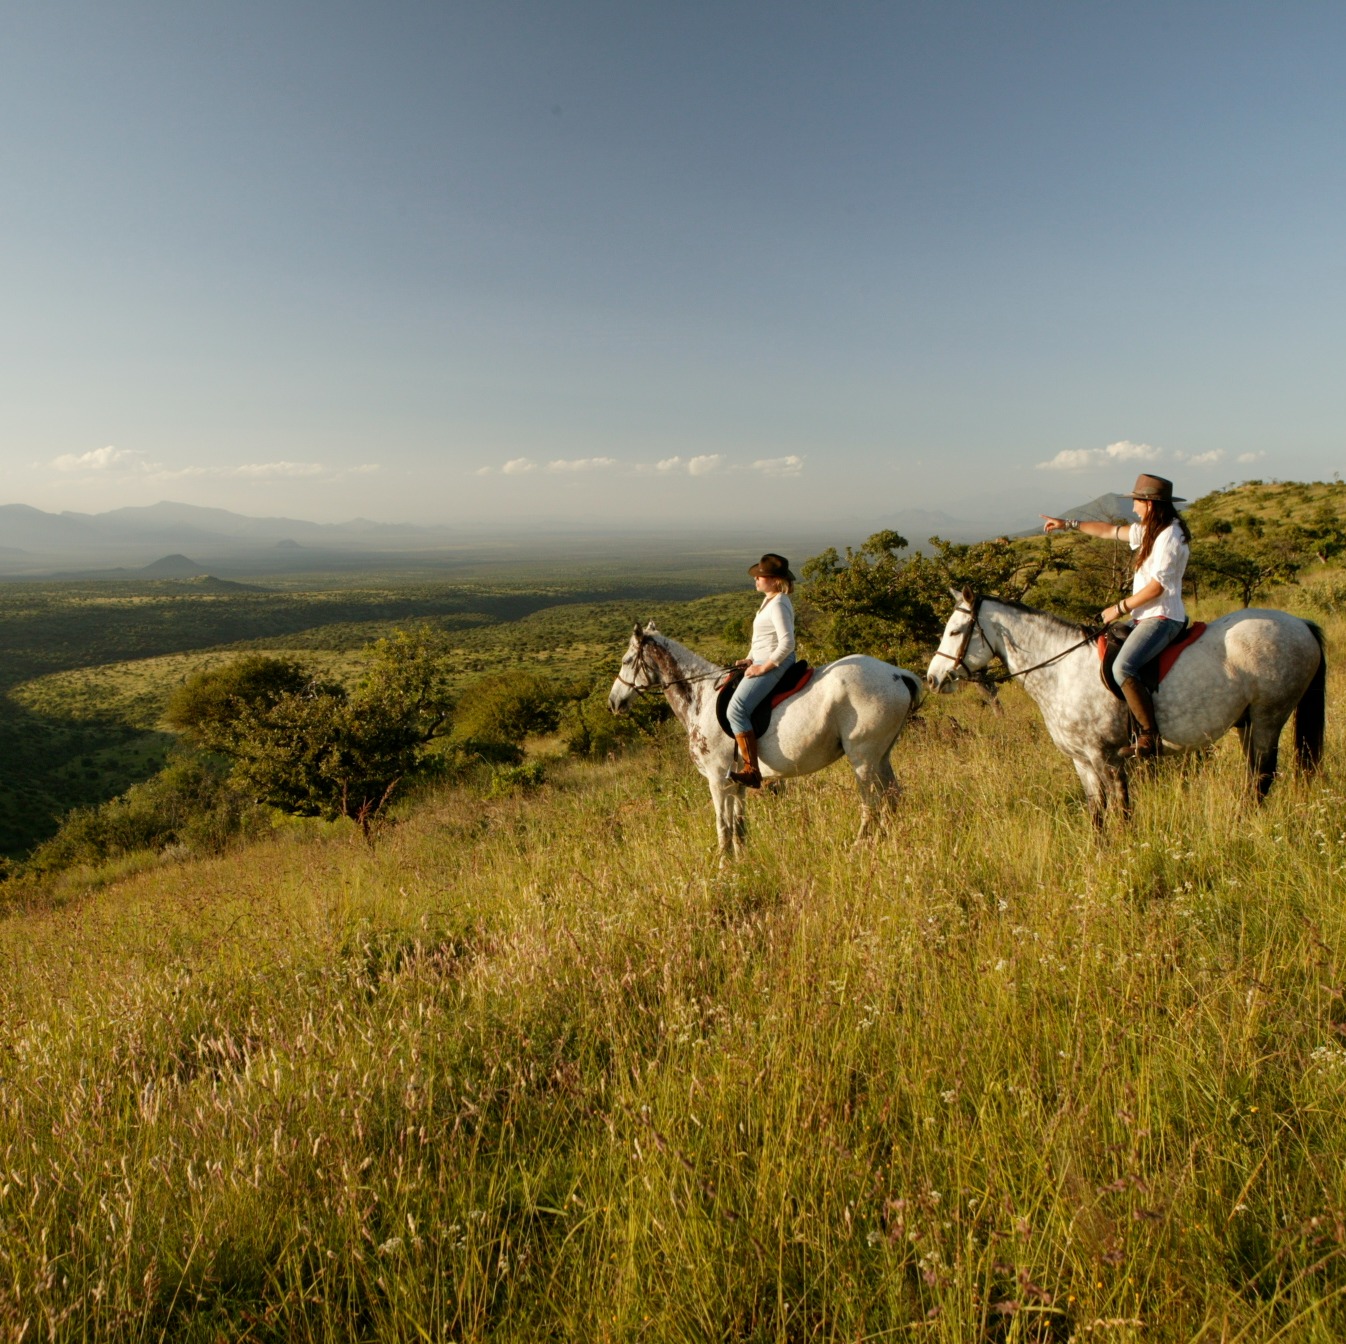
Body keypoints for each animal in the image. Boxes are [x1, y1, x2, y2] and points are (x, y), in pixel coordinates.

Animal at [611, 621, 926, 855]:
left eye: (627, 660)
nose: (613, 702)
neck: (701, 696)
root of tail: (898, 674)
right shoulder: (736, 782)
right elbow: (738, 825)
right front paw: (742, 863)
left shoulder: (716, 779)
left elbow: (723, 827)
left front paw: (723, 869)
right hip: (881, 755)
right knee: (892, 797)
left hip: (863, 757)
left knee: (870, 803)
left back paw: (859, 846)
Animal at [926, 594, 1324, 823]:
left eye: (956, 630)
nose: (933, 678)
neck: (1062, 669)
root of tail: (1300, 624)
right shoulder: (1082, 761)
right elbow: (1097, 814)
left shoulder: (1108, 758)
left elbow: (1122, 810)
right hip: (1248, 723)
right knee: (1254, 775)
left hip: (1269, 716)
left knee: (1262, 777)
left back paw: (1241, 826)